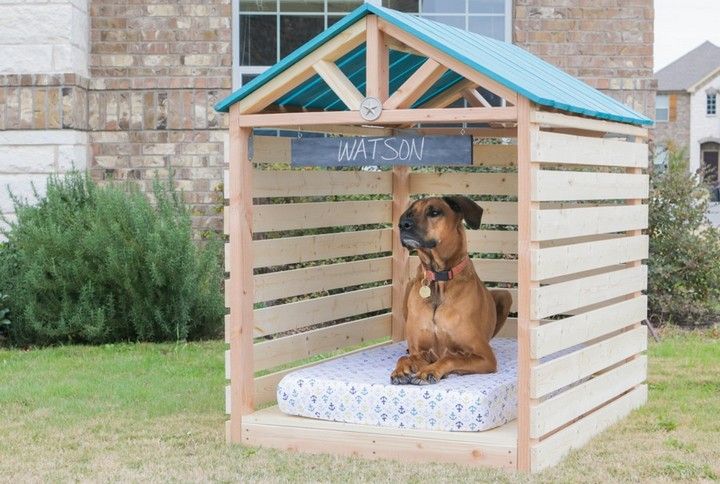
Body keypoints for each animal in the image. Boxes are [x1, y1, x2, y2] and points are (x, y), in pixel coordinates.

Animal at [390, 197, 516, 386]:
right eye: (410, 213)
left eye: (434, 212)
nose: (403, 224)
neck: (439, 279)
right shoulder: (420, 351)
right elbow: (406, 357)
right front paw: (400, 370)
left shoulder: (485, 356)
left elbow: (451, 357)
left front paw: (430, 371)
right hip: (409, 286)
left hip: (505, 295)